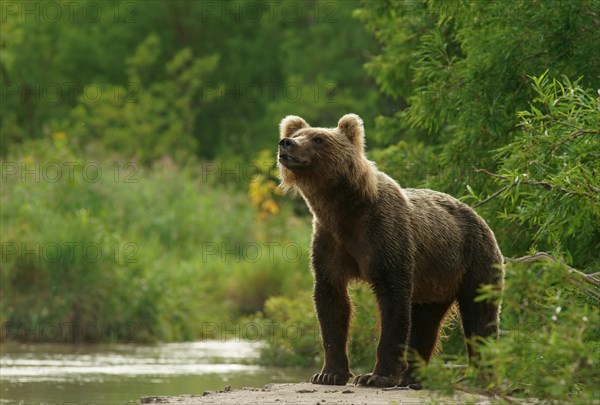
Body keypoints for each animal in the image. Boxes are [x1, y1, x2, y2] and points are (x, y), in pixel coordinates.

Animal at [278, 113, 504, 386]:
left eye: (318, 138)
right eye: (297, 134)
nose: (286, 143)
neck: (343, 210)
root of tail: (482, 219)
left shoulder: (385, 236)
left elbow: (393, 300)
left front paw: (375, 376)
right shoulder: (329, 241)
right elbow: (331, 300)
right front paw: (328, 373)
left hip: (475, 258)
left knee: (479, 314)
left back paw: (478, 376)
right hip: (436, 281)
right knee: (426, 321)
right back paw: (413, 377)